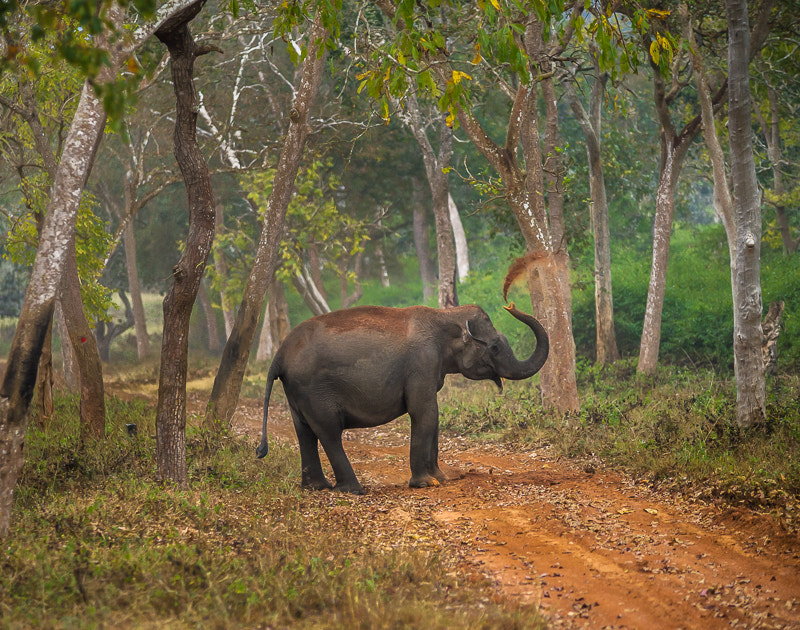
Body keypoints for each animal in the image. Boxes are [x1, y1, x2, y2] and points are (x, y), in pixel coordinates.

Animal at [256, 302, 548, 494]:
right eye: (495, 346)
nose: (510, 305)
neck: (445, 314)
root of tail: (279, 355)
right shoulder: (422, 362)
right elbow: (424, 412)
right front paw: (426, 484)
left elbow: (433, 416)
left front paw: (441, 478)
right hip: (314, 390)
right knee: (328, 432)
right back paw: (353, 490)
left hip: (297, 391)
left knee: (304, 431)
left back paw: (317, 487)